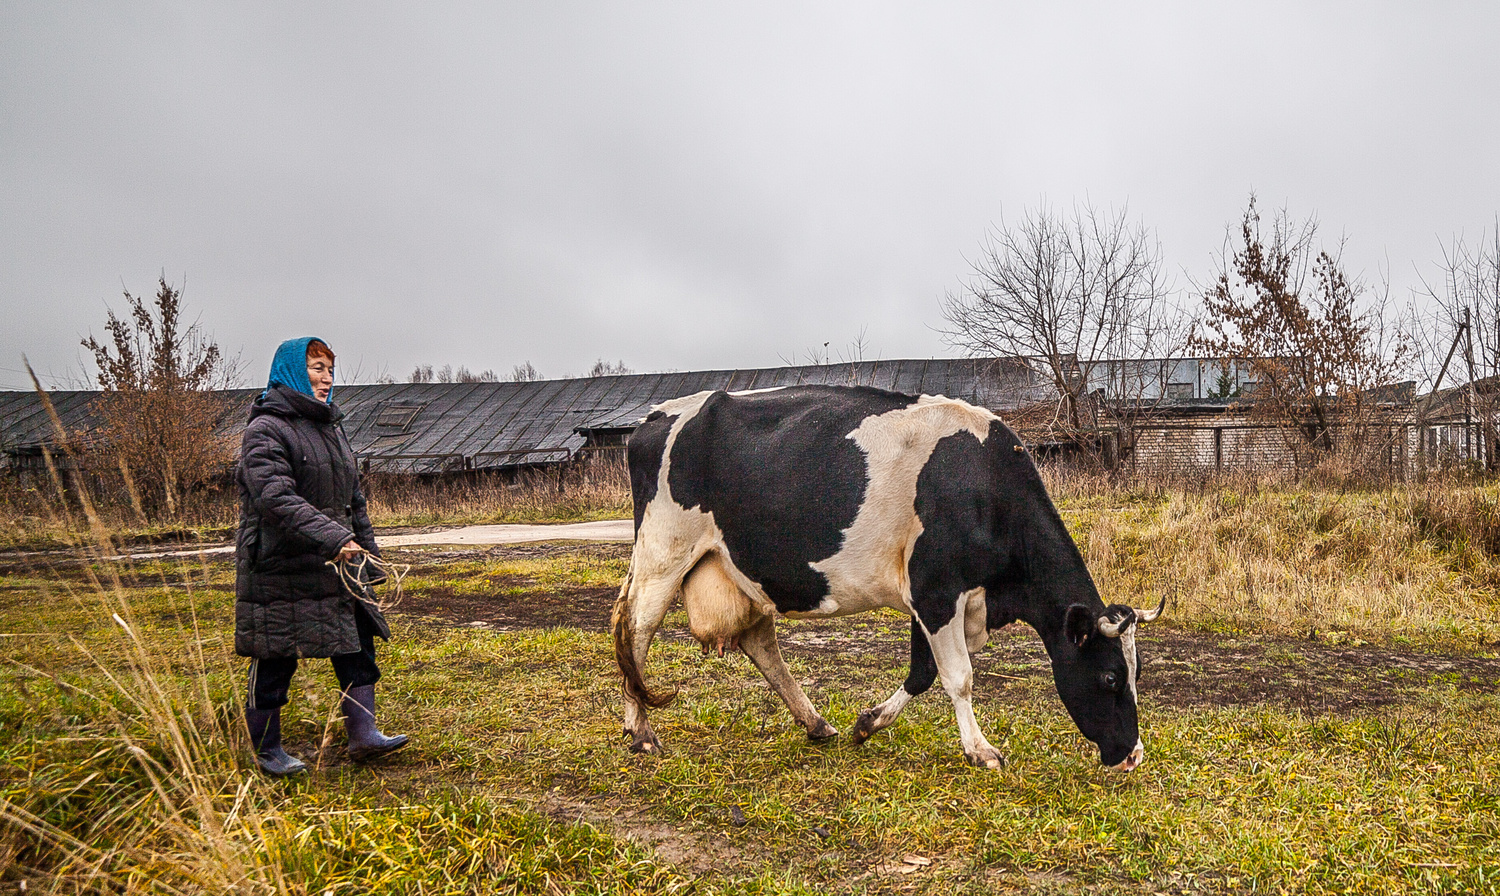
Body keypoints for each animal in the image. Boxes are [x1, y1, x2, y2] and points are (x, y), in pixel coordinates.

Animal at [609, 384, 1158, 768]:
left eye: (1134, 675)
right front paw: (980, 751)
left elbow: (923, 672)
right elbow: (959, 676)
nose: (1132, 754)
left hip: (740, 569)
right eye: (1110, 676)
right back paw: (640, 732)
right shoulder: (937, 591)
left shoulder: (939, 599)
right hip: (664, 552)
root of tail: (653, 418)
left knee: (761, 643)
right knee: (636, 632)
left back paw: (816, 723)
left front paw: (868, 723)